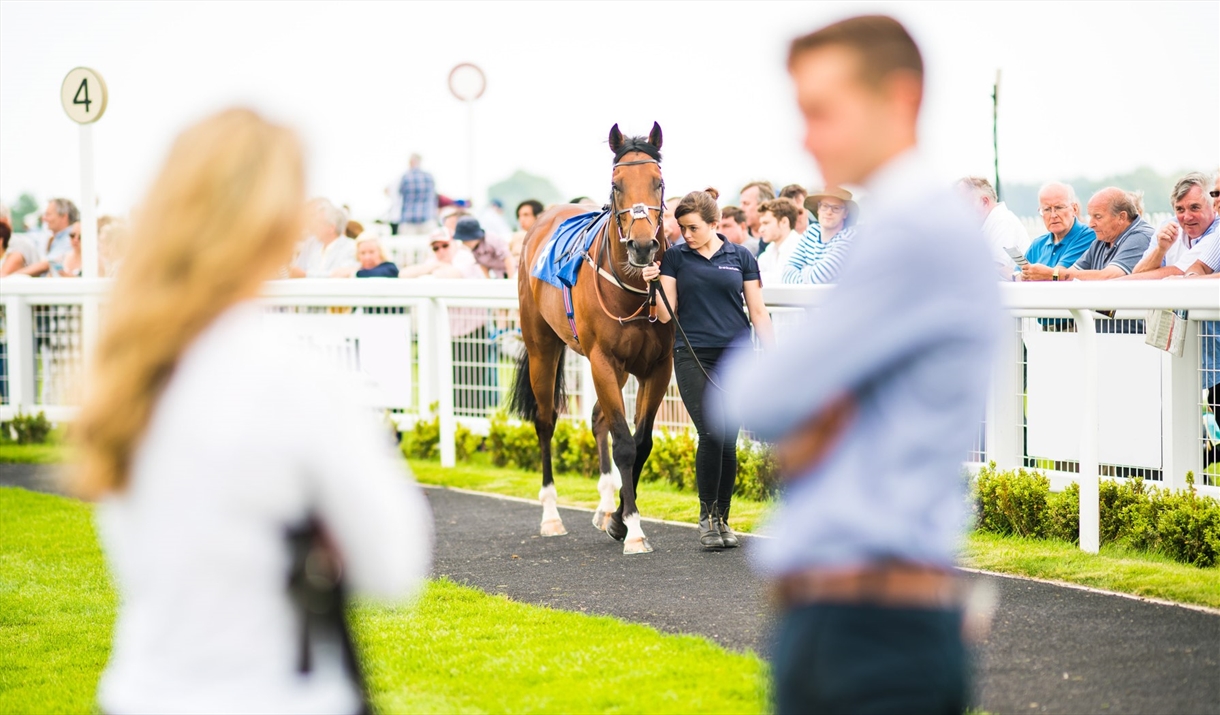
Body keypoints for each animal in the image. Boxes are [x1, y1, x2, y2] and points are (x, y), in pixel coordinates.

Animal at [507, 122, 673, 553]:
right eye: (616, 185)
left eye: (658, 182)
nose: (643, 246)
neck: (634, 289)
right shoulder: (602, 359)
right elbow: (625, 443)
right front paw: (632, 528)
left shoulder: (657, 366)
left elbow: (642, 441)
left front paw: (617, 518)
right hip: (542, 346)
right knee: (546, 420)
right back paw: (551, 515)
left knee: (598, 419)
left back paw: (602, 507)